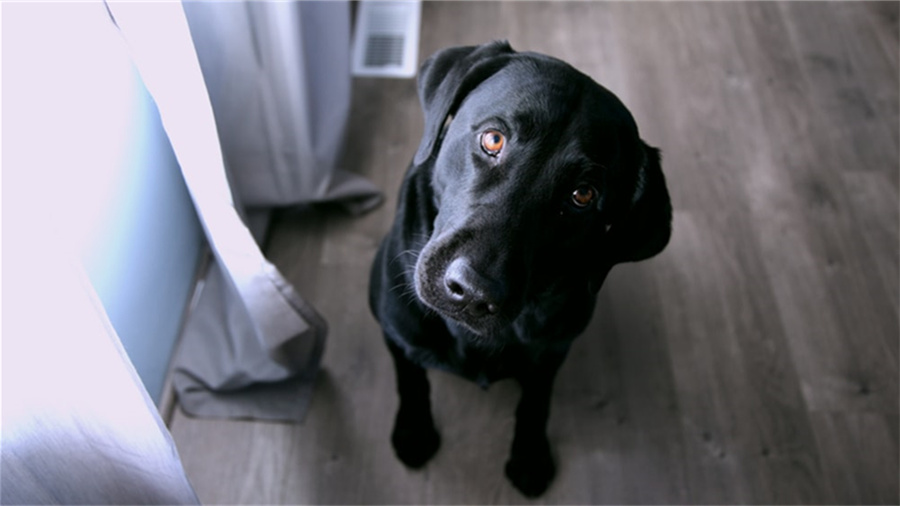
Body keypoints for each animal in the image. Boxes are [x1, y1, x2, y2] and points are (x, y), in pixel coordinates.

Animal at [370, 40, 672, 498]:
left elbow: (536, 401)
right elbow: (410, 375)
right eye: (493, 139)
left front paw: (530, 456)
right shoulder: (395, 325)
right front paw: (415, 431)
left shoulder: (553, 350)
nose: (472, 291)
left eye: (583, 195)